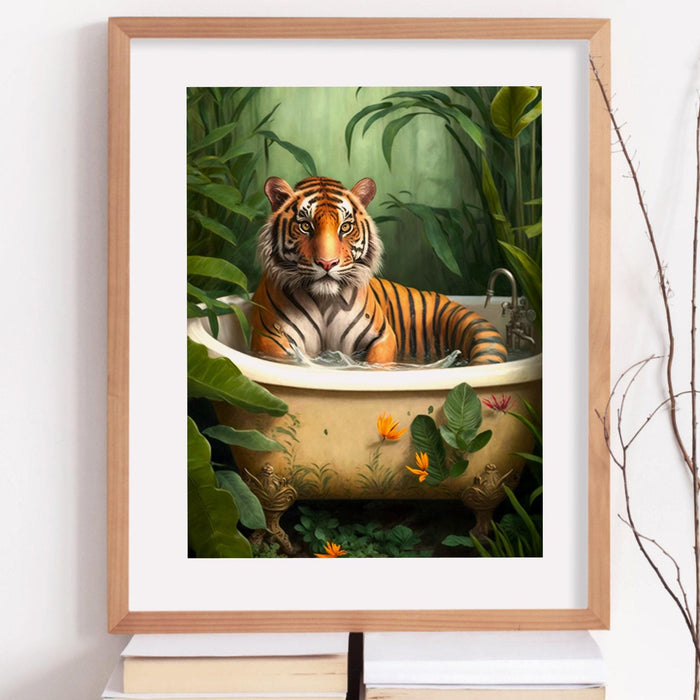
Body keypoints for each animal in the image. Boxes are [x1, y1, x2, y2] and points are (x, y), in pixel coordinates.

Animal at [251, 175, 507, 366]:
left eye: (345, 227)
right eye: (305, 226)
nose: (327, 263)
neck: (324, 301)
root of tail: (447, 301)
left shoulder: (381, 337)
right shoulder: (271, 339)